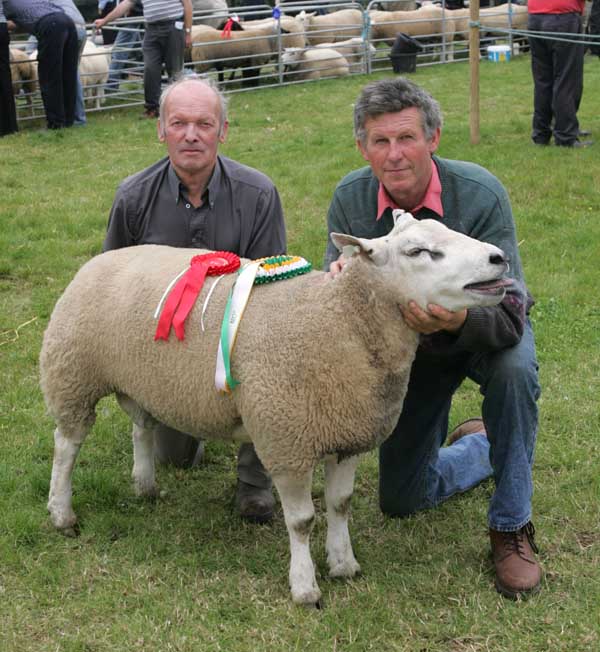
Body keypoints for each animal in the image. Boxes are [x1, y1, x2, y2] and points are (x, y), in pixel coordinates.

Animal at [42, 213, 510, 608]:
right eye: (418, 252)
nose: (498, 257)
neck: (338, 320)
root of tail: (102, 257)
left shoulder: (349, 433)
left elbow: (340, 504)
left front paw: (343, 564)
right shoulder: (287, 440)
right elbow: (302, 520)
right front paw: (305, 587)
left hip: (139, 378)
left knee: (141, 425)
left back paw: (145, 486)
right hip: (72, 372)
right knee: (67, 445)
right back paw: (62, 513)